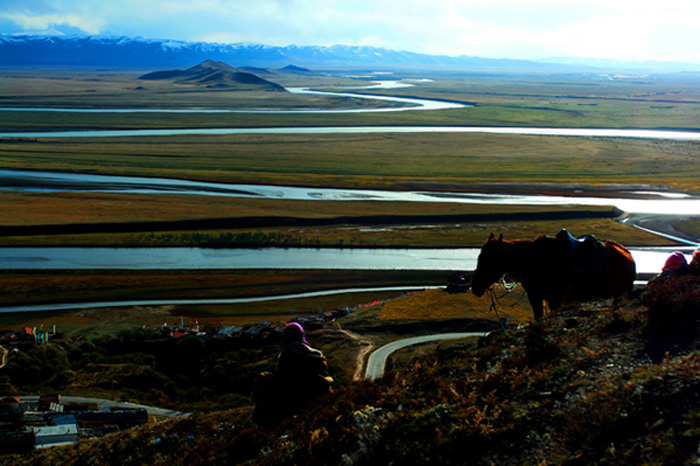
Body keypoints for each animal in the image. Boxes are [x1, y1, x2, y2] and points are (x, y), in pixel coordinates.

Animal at [470, 232, 636, 320]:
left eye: (488, 258)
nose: (475, 287)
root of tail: (627, 254)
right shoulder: (536, 298)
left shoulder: (555, 299)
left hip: (619, 294)